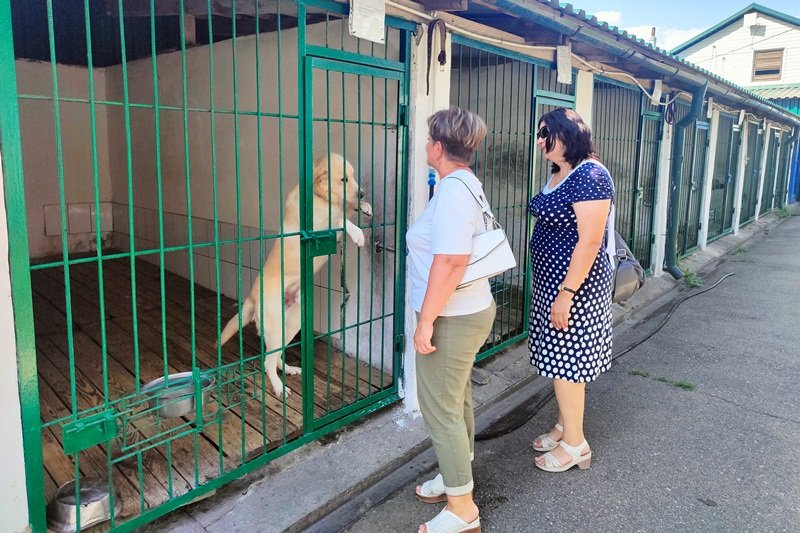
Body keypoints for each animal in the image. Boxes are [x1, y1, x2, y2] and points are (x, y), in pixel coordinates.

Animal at [217, 154, 370, 394]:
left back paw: (288, 369)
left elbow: (345, 211)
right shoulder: (320, 231)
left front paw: (364, 206)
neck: (319, 198)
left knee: (275, 355)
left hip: (290, 325)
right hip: (277, 325)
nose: (362, 192)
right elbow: (340, 220)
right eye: (344, 179)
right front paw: (357, 232)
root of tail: (251, 297)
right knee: (267, 362)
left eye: (353, 176)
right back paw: (279, 387)